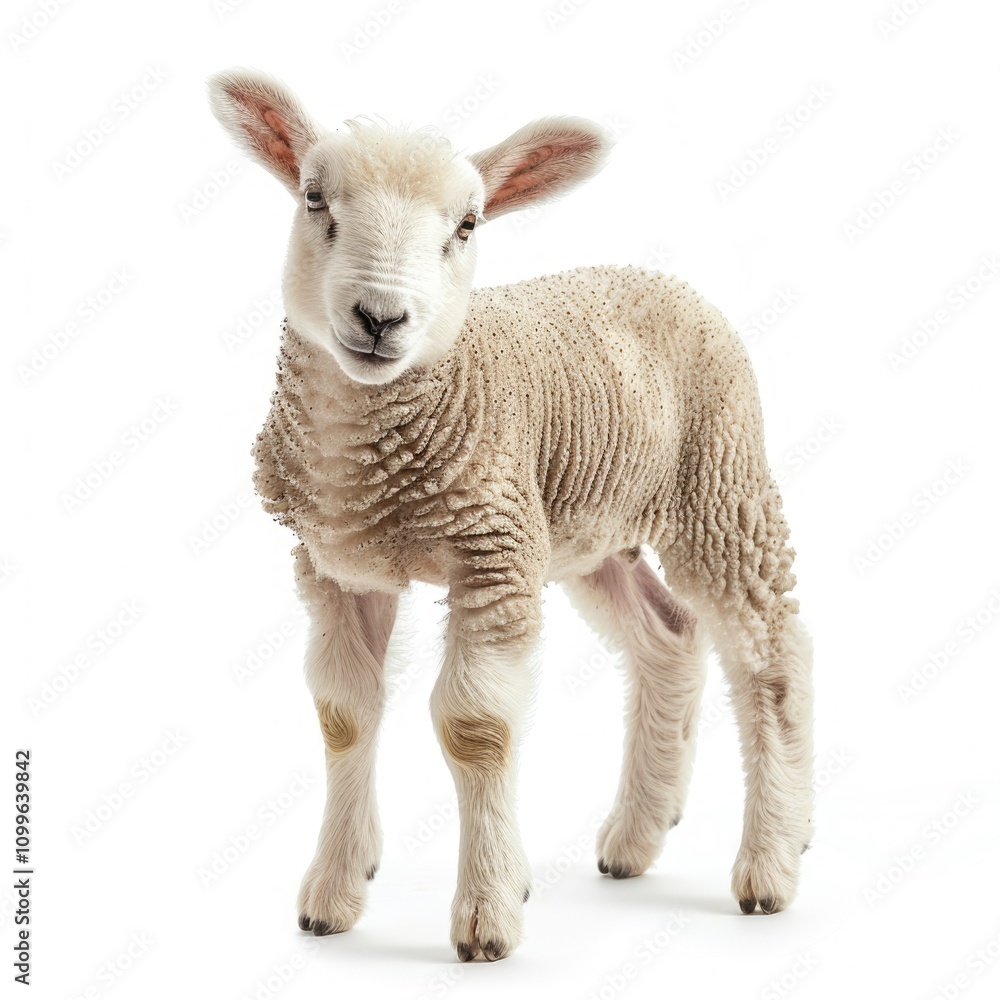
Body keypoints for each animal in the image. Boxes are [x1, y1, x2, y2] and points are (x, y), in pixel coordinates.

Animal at [208, 68, 814, 962]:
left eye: (467, 225)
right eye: (314, 197)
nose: (380, 318)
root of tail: (661, 277)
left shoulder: (491, 551)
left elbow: (475, 727)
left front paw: (489, 914)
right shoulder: (338, 564)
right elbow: (344, 715)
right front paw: (333, 895)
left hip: (719, 484)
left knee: (771, 657)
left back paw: (773, 861)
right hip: (582, 531)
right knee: (668, 638)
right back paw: (637, 837)